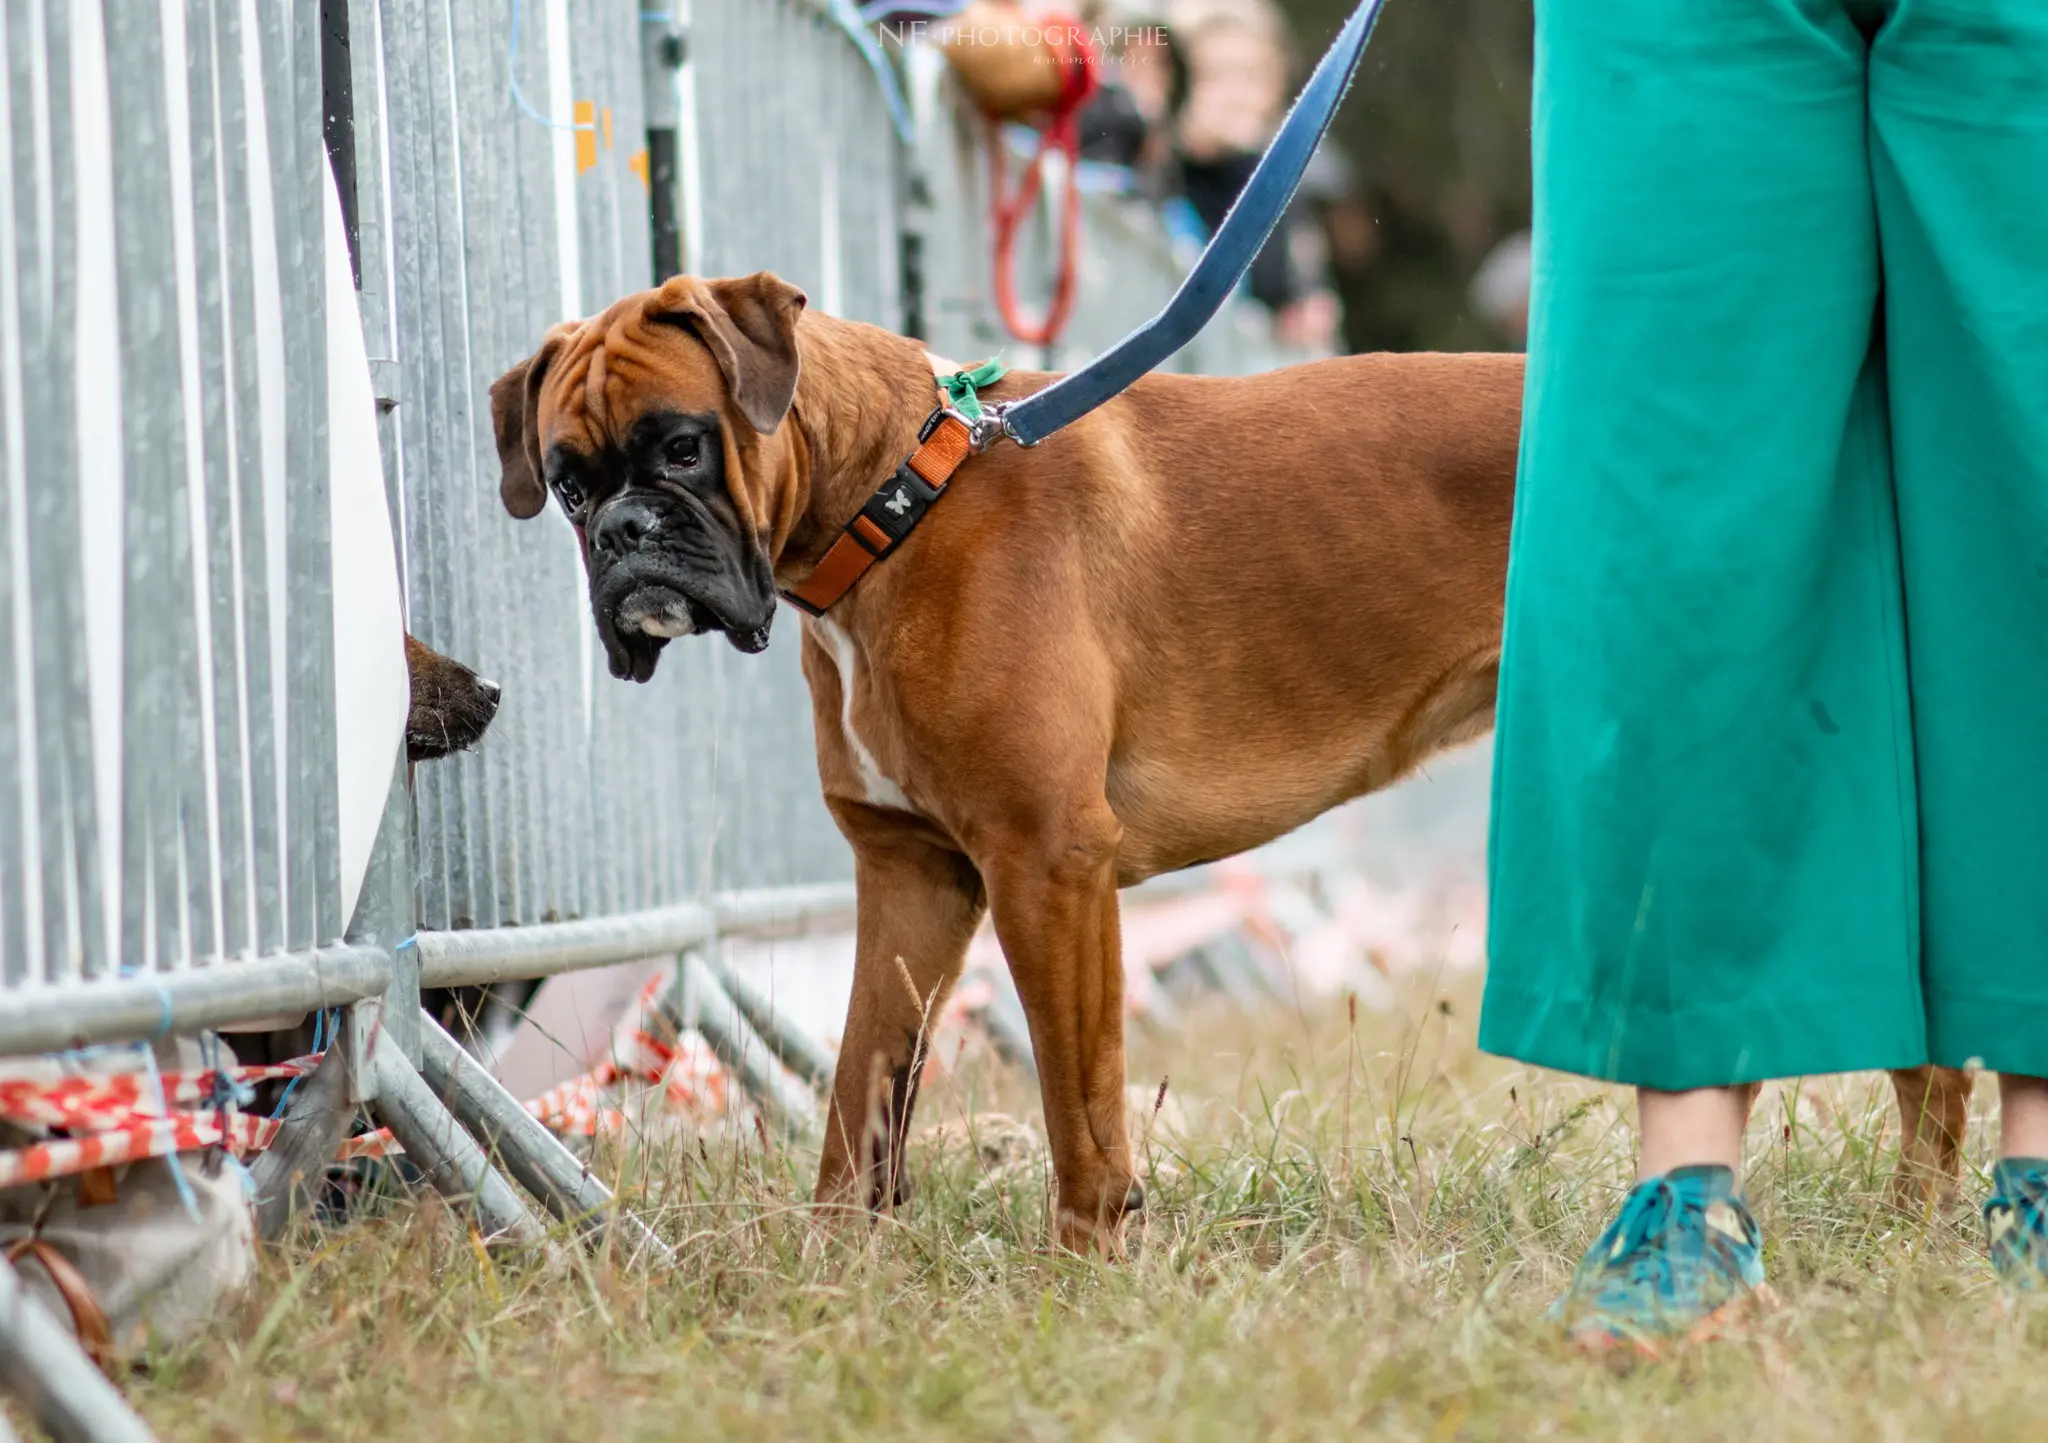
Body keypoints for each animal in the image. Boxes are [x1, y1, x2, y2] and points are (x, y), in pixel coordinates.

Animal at [487, 270, 1974, 1252]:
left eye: (684, 446)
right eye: (565, 482)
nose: (625, 535)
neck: (901, 496)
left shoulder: (1048, 869)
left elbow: (1078, 1106)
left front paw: (1084, 1274)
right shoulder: (913, 878)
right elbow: (862, 1094)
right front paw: (836, 1270)